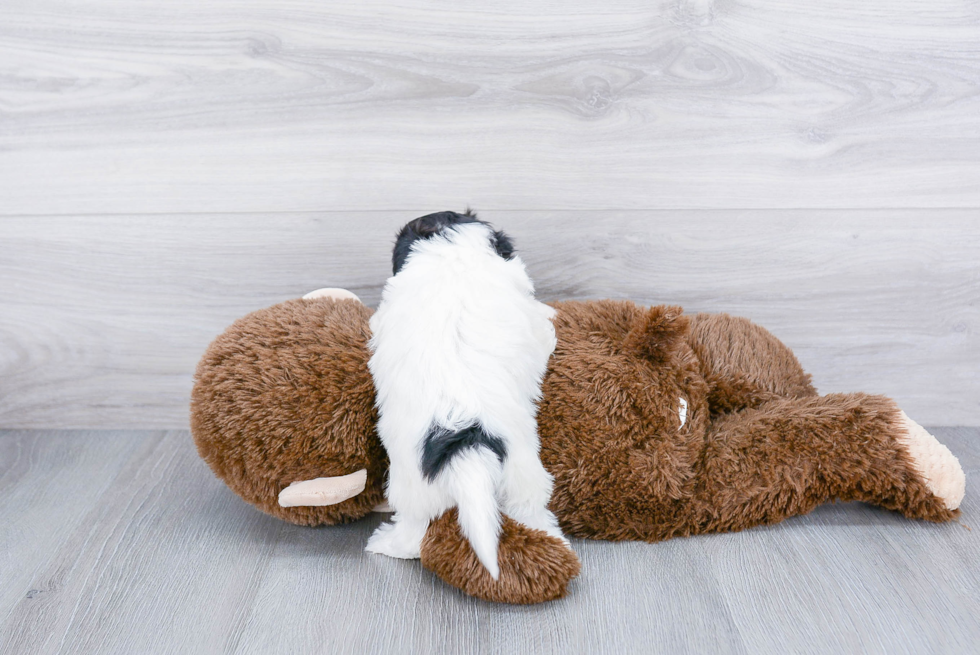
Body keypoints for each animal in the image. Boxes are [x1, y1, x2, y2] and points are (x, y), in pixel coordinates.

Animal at [366, 210, 568, 580]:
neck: (452, 251)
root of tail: (464, 437)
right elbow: (541, 325)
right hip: (522, 474)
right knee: (529, 509)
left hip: (415, 485)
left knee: (413, 532)